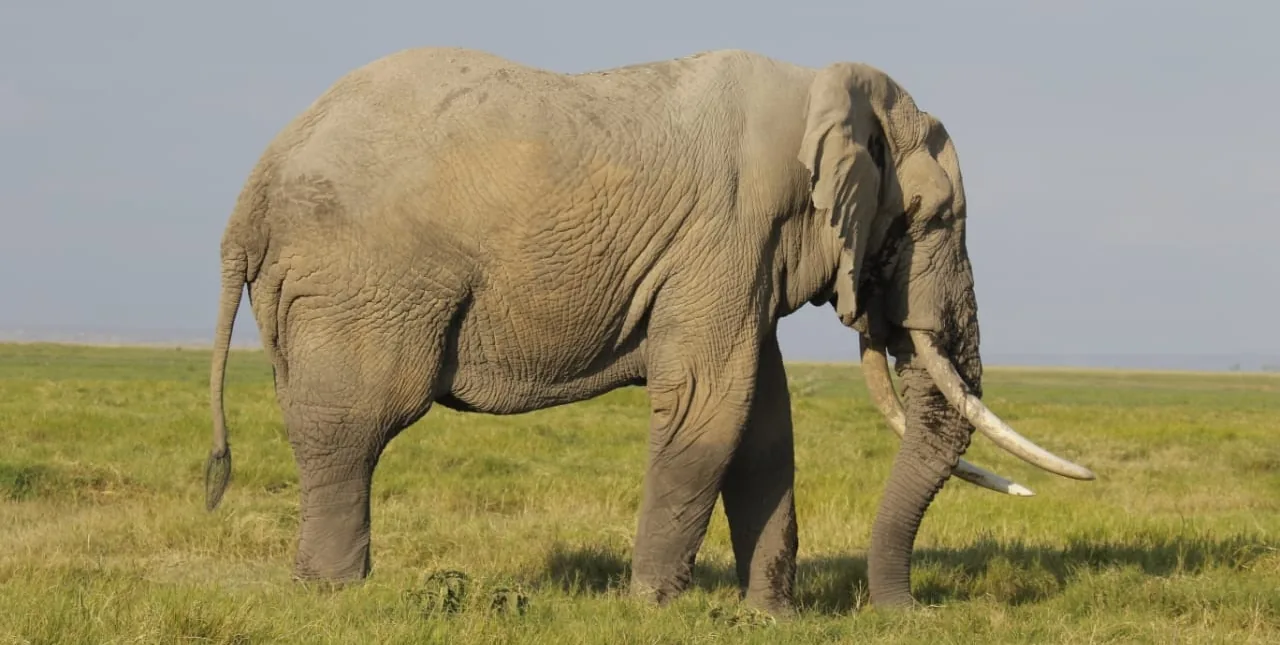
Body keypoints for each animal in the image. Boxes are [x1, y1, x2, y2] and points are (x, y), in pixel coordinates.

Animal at [203, 47, 1095, 614]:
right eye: (931, 219)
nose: (909, 614)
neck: (823, 91)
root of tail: (254, 184)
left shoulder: (743, 260)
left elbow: (765, 429)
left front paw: (769, 619)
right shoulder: (725, 234)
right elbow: (710, 409)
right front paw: (657, 609)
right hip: (363, 278)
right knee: (355, 425)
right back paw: (333, 594)